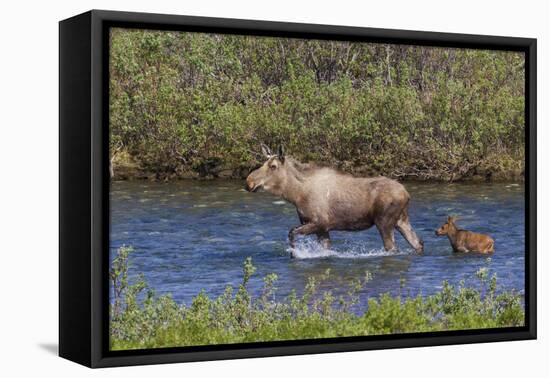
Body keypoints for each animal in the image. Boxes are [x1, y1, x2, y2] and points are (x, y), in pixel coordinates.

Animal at [247, 144, 426, 256]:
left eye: (273, 166)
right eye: (263, 163)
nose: (249, 182)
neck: (295, 195)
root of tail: (407, 194)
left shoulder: (319, 222)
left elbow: (291, 233)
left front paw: (295, 254)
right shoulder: (322, 229)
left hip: (384, 222)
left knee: (392, 248)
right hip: (401, 220)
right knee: (418, 243)